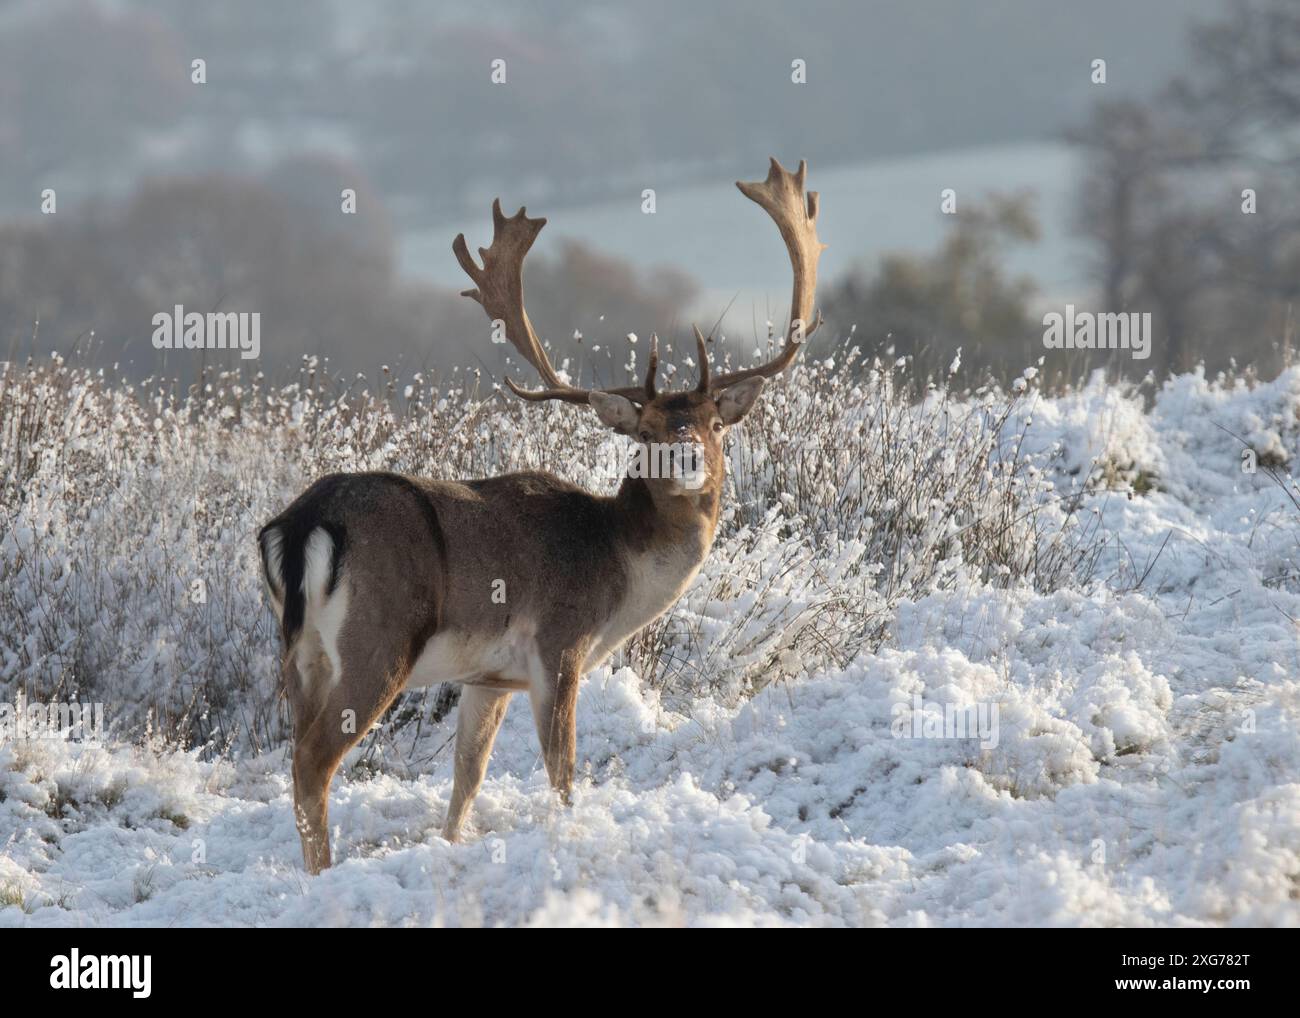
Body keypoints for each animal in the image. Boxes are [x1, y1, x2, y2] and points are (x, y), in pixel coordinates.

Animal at [258, 157, 825, 873]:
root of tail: (300, 523)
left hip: (299, 654)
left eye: (714, 424)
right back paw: (323, 877)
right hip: (377, 642)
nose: (688, 455)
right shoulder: (560, 645)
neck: (621, 571)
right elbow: (563, 773)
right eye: (646, 429)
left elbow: (467, 779)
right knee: (312, 765)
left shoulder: (489, 677)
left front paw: (454, 846)